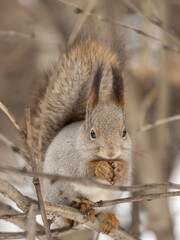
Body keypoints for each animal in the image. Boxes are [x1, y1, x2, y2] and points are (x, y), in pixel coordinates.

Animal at [29, 36, 132, 235]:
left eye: (124, 132)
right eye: (92, 133)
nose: (111, 153)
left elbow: (127, 171)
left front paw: (121, 170)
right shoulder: (72, 159)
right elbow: (82, 171)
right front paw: (100, 168)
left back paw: (109, 219)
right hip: (59, 191)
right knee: (67, 213)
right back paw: (80, 207)